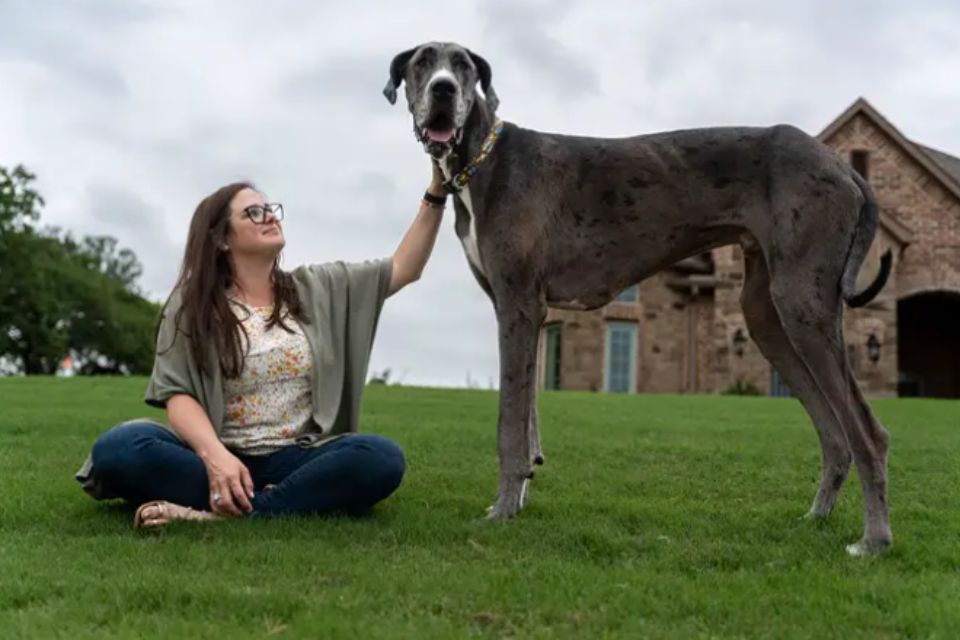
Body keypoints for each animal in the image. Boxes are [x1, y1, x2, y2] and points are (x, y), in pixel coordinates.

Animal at [382, 43, 892, 556]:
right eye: (422, 63)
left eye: (463, 66)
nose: (443, 90)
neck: (483, 160)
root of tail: (843, 166)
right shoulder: (527, 315)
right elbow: (527, 420)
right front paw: (519, 498)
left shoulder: (518, 305)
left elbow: (510, 423)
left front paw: (502, 511)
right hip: (767, 316)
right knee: (835, 434)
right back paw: (816, 518)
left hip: (802, 305)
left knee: (868, 433)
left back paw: (873, 540)